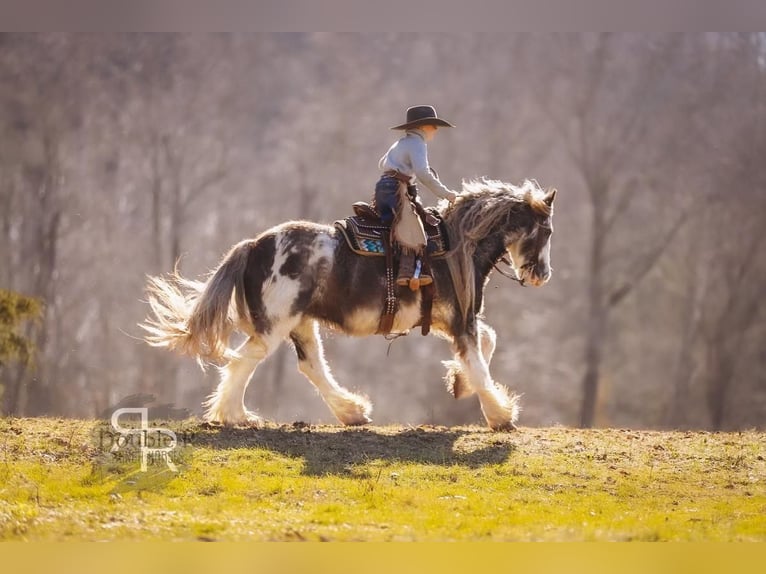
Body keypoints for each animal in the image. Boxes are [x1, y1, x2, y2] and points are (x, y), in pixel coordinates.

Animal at [141, 180, 556, 432]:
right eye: (548, 230)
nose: (542, 274)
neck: (456, 246)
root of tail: (253, 245)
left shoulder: (454, 321)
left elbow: (487, 342)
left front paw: (458, 383)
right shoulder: (460, 321)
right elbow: (481, 363)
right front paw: (501, 414)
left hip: (301, 323)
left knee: (310, 365)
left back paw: (352, 411)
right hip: (275, 325)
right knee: (245, 361)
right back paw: (236, 416)